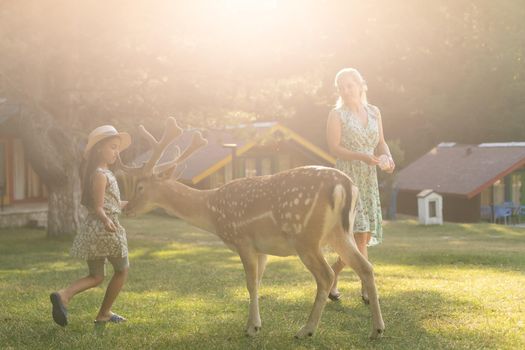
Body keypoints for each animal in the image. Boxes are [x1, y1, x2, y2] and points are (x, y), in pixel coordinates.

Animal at [119, 117, 384, 340]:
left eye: (140, 186)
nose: (126, 208)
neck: (213, 211)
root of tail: (345, 185)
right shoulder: (261, 248)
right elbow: (257, 281)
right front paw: (256, 324)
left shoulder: (242, 238)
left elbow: (249, 282)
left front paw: (251, 327)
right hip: (340, 233)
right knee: (366, 267)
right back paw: (377, 330)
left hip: (306, 236)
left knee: (326, 275)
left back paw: (305, 330)